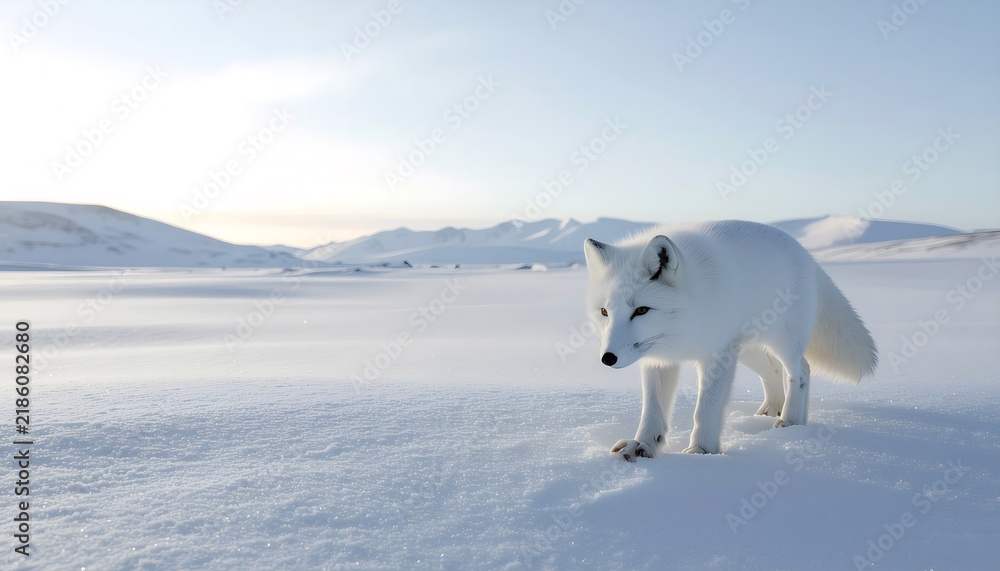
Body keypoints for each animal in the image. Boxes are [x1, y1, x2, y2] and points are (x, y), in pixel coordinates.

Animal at [584, 220, 877, 461]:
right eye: (604, 312)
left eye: (641, 310)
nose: (608, 358)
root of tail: (803, 252)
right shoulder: (659, 359)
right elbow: (652, 410)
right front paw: (643, 445)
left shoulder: (719, 356)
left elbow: (705, 410)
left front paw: (701, 451)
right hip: (747, 351)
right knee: (773, 371)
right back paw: (772, 410)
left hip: (782, 341)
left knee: (801, 370)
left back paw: (791, 422)